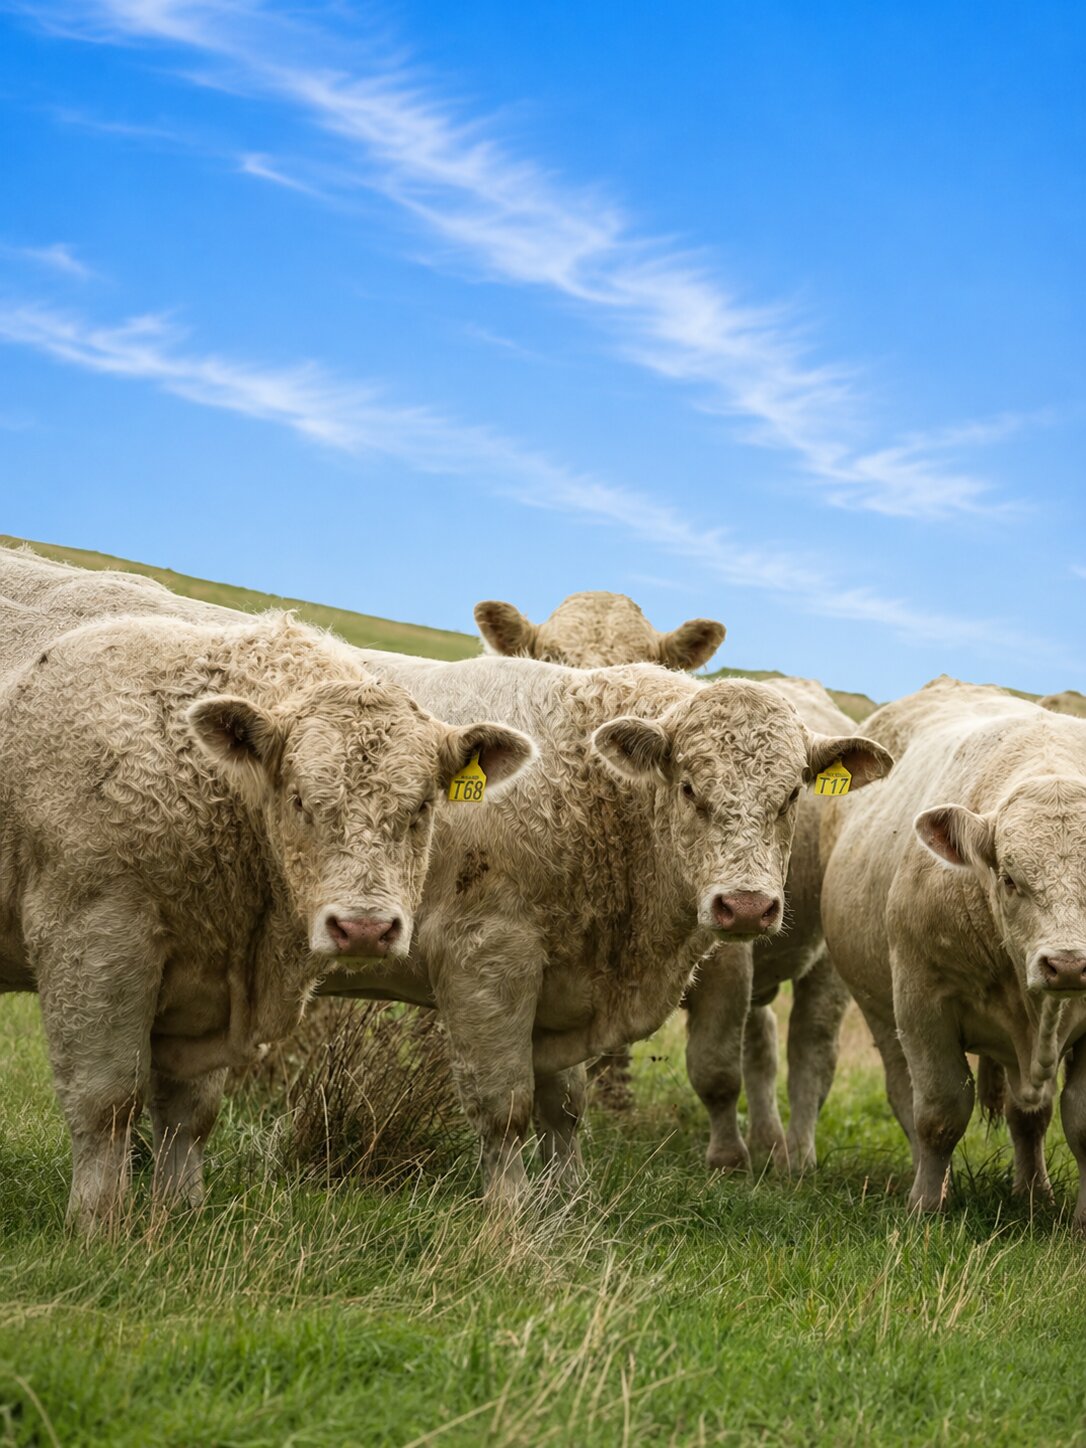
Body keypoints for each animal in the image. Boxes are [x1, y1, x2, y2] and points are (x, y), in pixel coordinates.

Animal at [0, 551, 535, 1228]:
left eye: (420, 808)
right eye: (301, 800)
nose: (364, 928)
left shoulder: (202, 979)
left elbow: (189, 1115)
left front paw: (179, 1214)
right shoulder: (91, 935)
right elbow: (106, 1102)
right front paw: (97, 1226)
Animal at [319, 649, 892, 1202]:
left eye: (792, 794)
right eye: (689, 788)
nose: (747, 906)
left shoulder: (562, 976)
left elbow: (569, 1103)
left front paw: (570, 1196)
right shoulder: (484, 959)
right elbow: (505, 1104)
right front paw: (510, 1207)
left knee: (806, 1055)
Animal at [821, 676, 1086, 1222]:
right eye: (1009, 879)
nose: (1068, 965)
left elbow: (1080, 1122)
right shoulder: (923, 1001)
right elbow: (940, 1112)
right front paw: (925, 1207)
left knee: (1027, 1117)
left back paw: (1034, 1193)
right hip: (882, 1011)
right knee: (907, 1097)